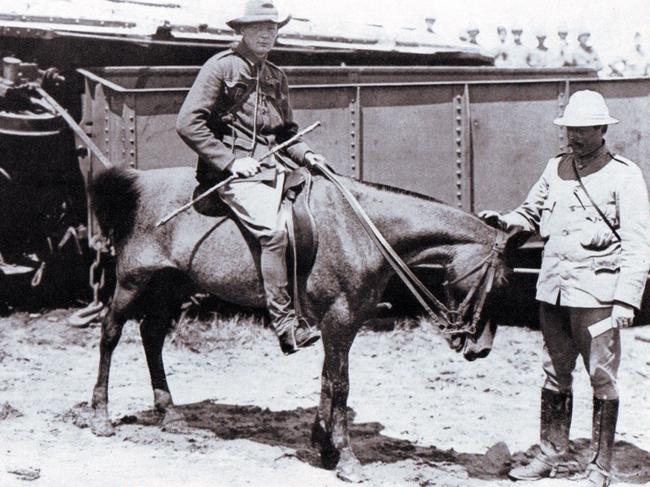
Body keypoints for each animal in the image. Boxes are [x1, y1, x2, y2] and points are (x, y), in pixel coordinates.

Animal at [87, 166, 520, 482]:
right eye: (499, 284)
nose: (481, 348)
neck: (362, 228)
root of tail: (140, 182)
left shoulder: (341, 323)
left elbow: (329, 380)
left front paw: (325, 446)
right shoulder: (340, 319)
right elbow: (341, 385)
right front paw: (346, 459)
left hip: (172, 284)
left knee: (151, 336)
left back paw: (170, 414)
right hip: (133, 280)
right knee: (110, 333)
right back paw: (100, 416)